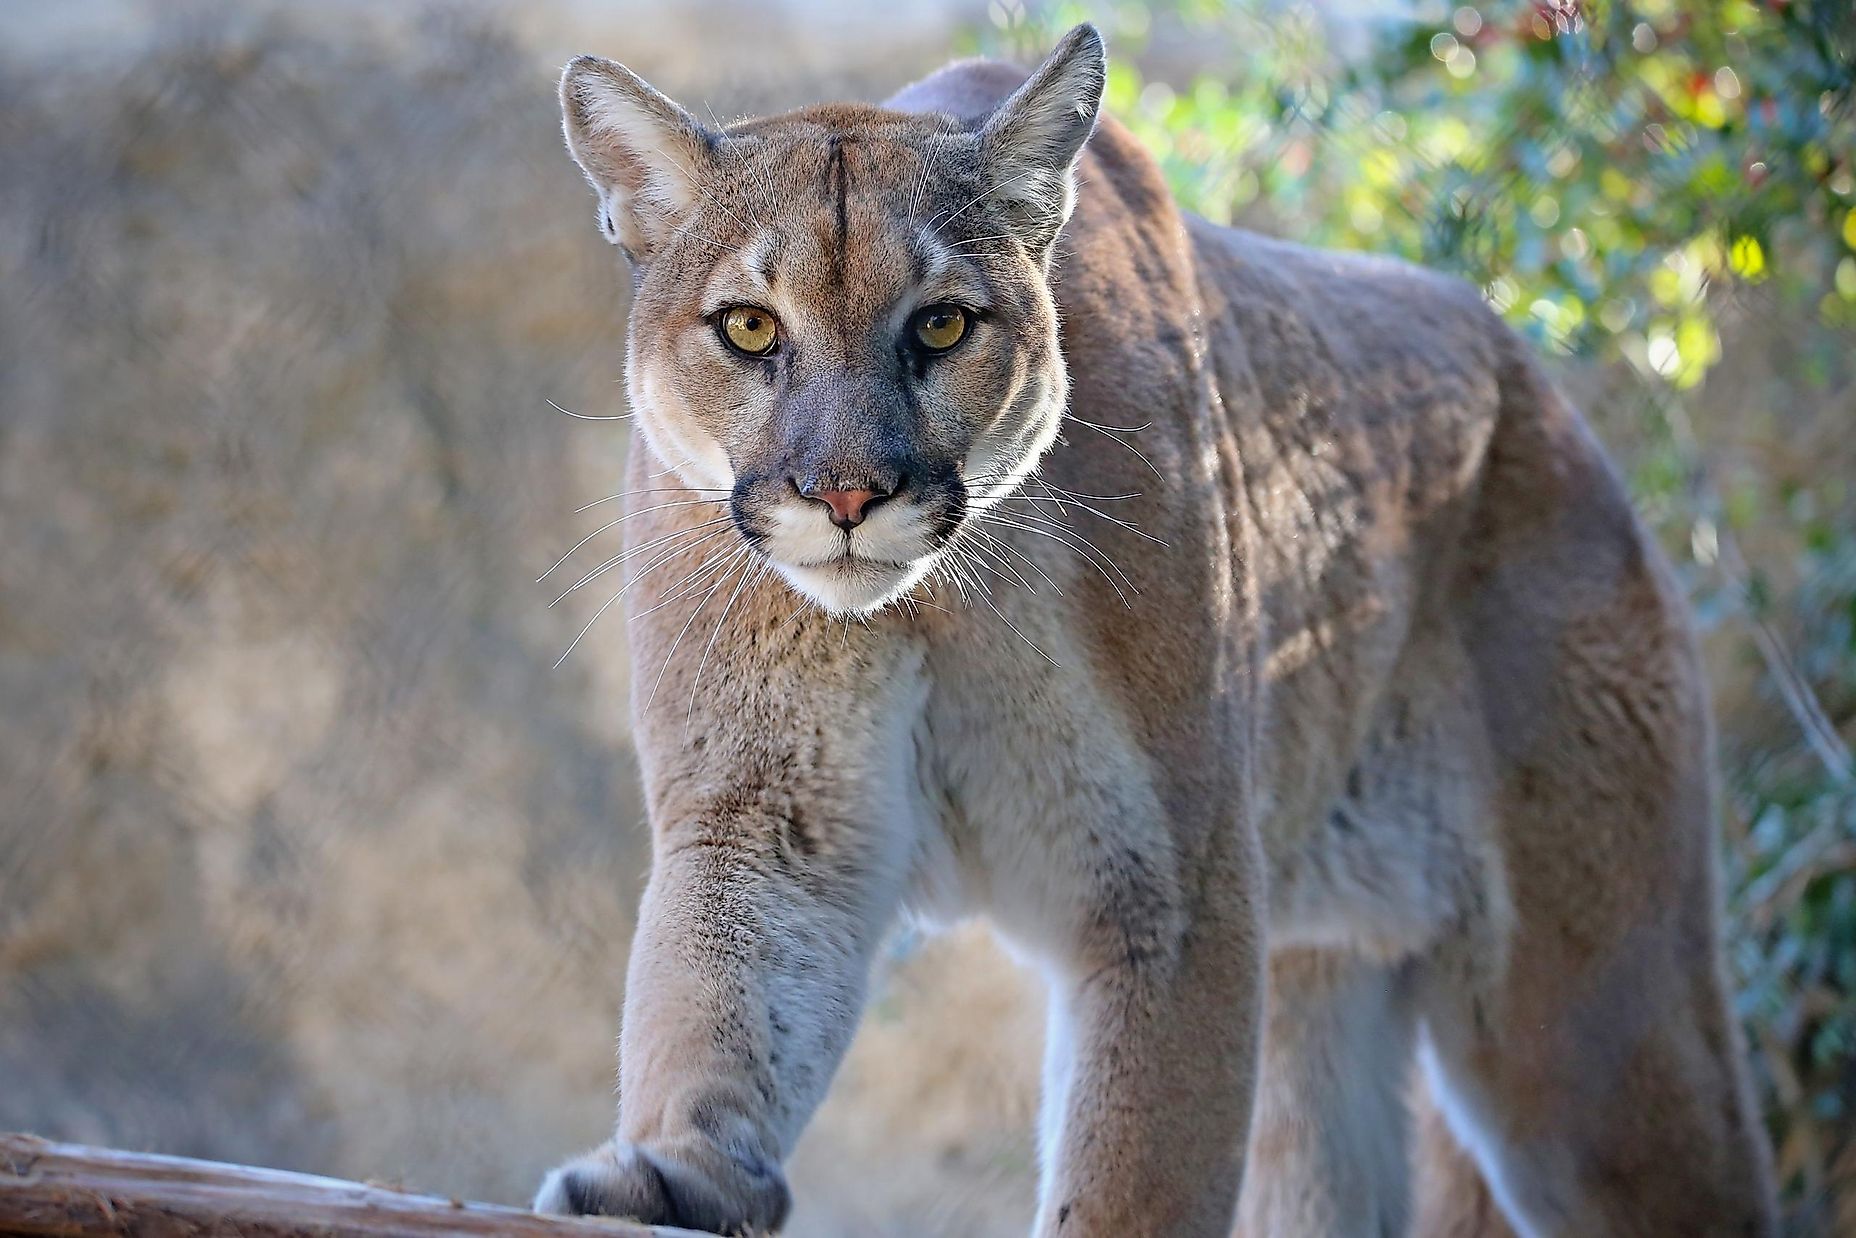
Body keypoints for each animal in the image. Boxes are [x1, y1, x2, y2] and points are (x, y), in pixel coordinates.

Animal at [530, 21, 1774, 1238]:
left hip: (1592, 1026)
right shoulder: (769, 809)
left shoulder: (1171, 882)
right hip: (1317, 1009)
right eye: (748, 326)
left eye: (941, 323)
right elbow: (720, 989)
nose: (845, 493)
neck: (936, 599)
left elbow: (1137, 1163)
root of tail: (1546, 397)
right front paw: (672, 1167)